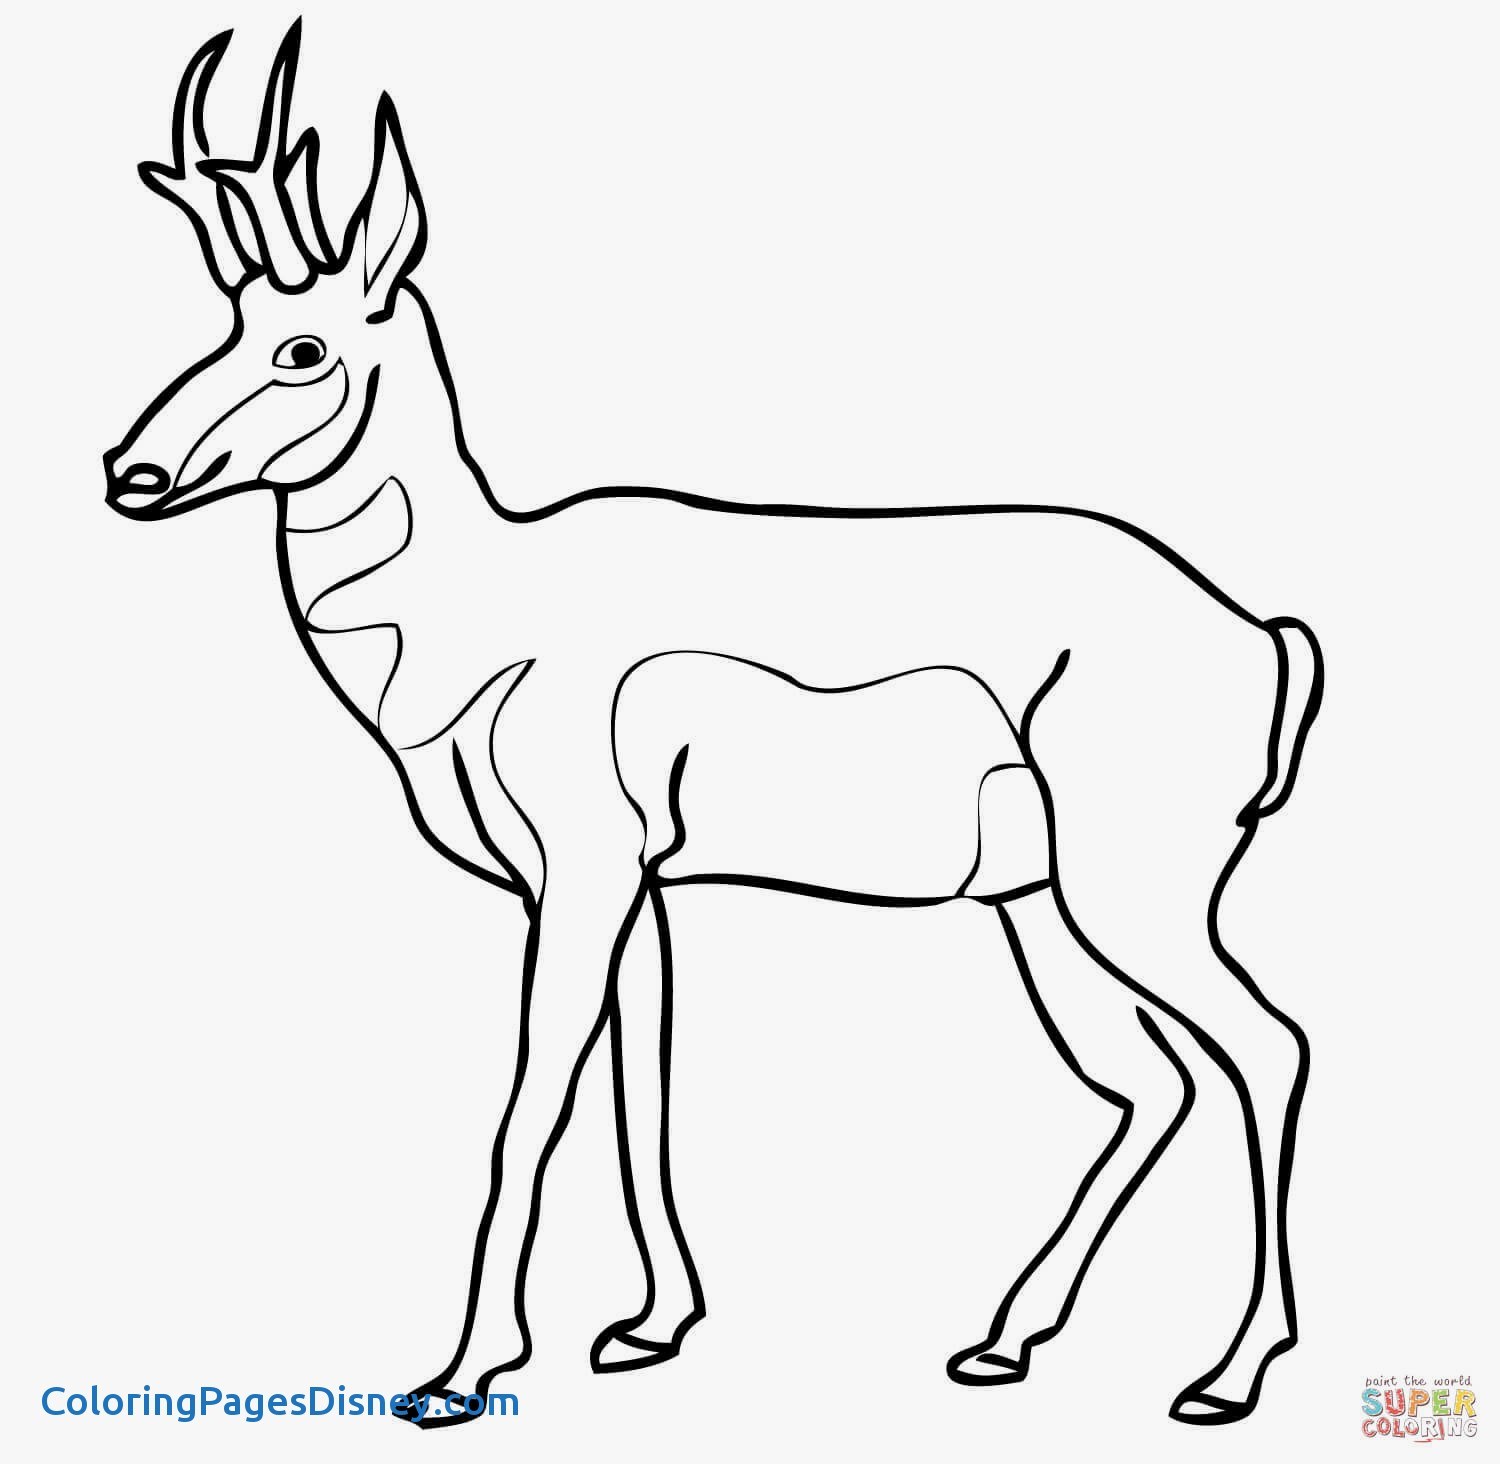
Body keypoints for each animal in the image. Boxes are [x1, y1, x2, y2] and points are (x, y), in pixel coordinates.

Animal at [103, 26, 1324, 1428]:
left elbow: (532, 1103)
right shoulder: (635, 884)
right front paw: (647, 1328)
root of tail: (1264, 637)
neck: (482, 620)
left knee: (1266, 1046)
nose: (128, 472)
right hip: (1038, 900)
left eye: (302, 348)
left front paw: (459, 1375)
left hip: (1136, 885)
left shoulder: (584, 865)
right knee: (1149, 1079)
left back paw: (1224, 1378)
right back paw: (999, 1343)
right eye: (226, 322)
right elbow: (644, 1084)